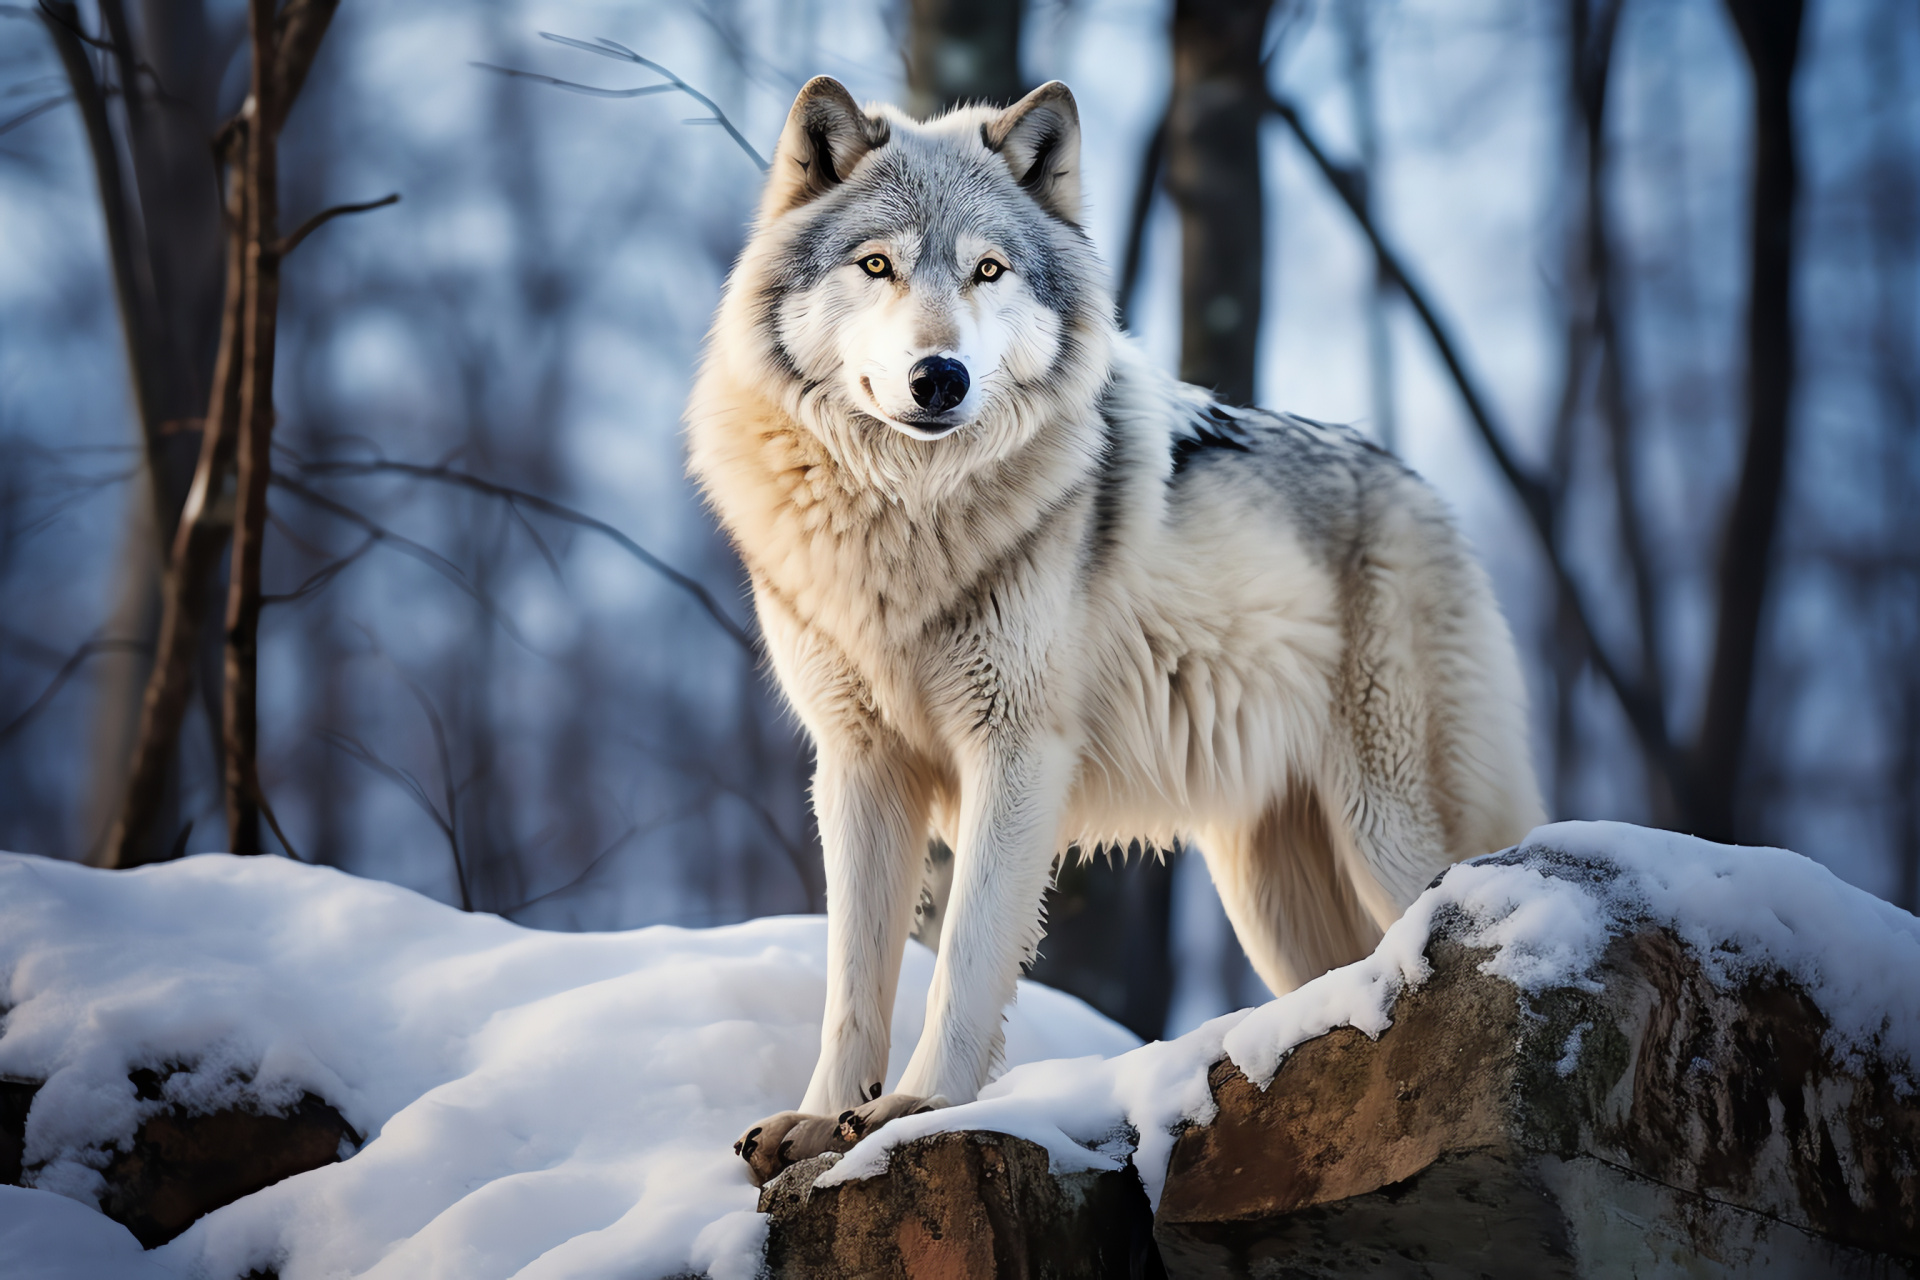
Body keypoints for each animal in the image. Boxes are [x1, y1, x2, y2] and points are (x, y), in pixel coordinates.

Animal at [683, 77, 1536, 1182]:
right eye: (877, 265)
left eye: (988, 270)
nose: (939, 377)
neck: (905, 517)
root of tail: (1421, 489)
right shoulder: (859, 765)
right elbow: (852, 972)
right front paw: (822, 1119)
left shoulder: (1015, 750)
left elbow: (965, 952)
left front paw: (917, 1107)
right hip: (1268, 893)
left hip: (1388, 835)